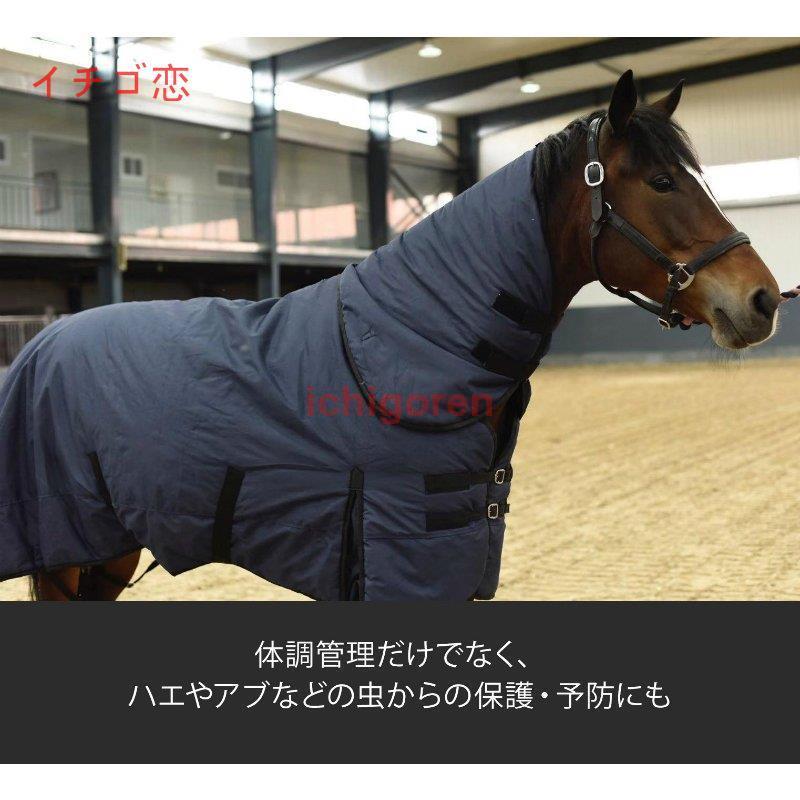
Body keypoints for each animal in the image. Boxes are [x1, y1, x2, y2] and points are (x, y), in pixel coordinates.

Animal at [1, 69, 781, 601]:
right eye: (661, 182)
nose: (765, 299)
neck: (416, 337)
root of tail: (40, 343)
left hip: (107, 553)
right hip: (68, 554)